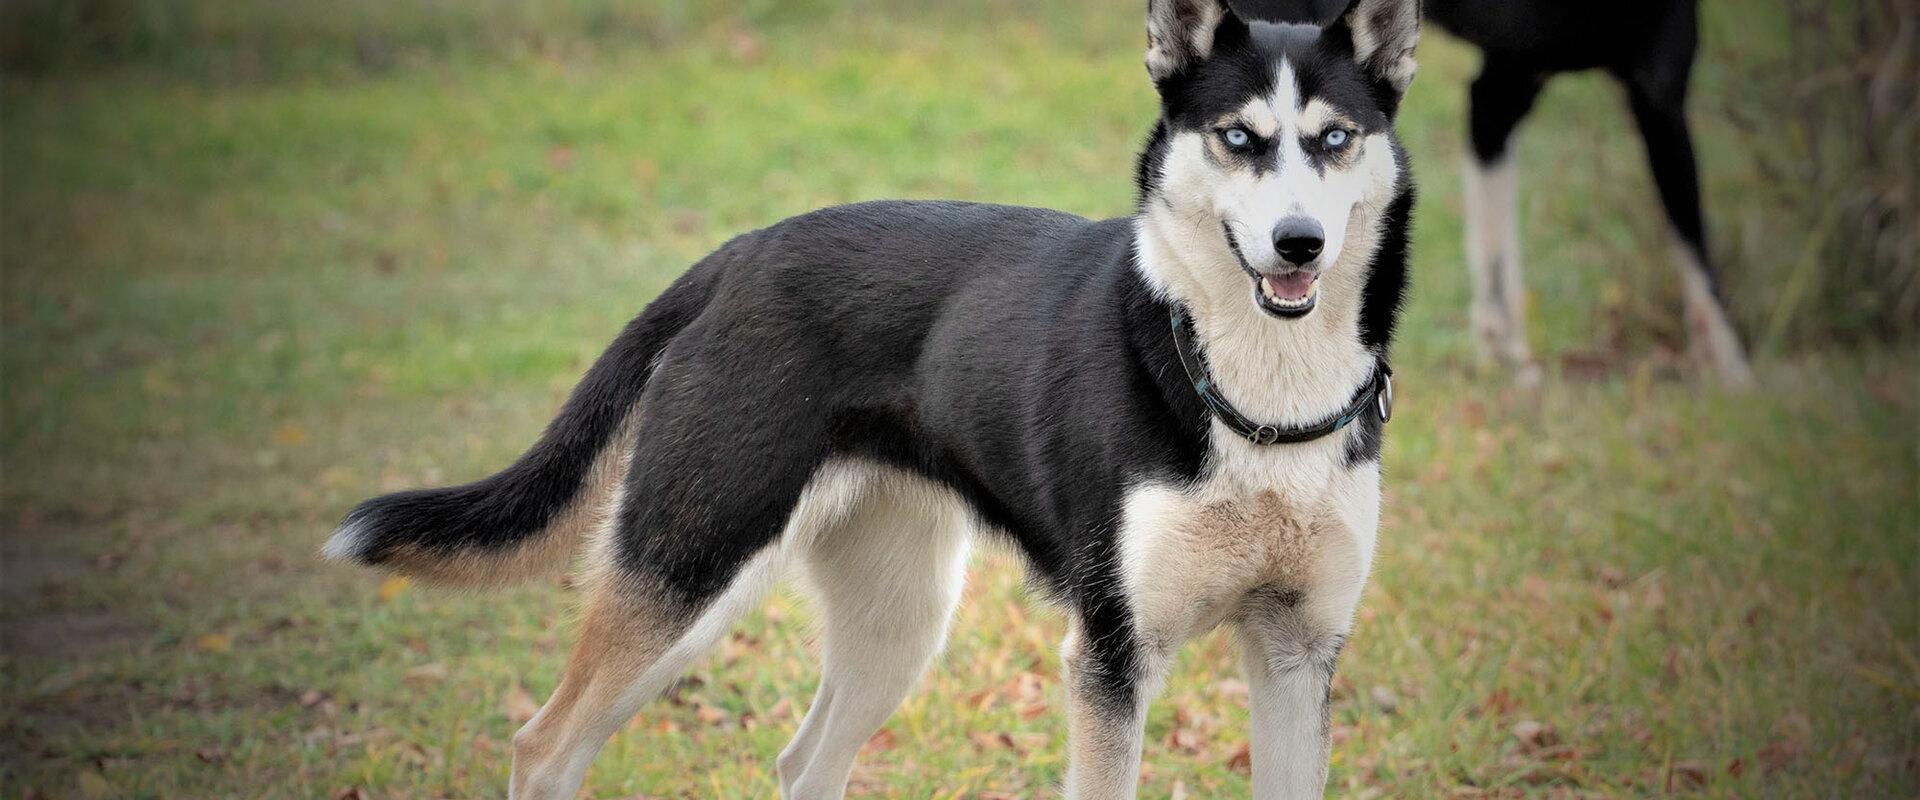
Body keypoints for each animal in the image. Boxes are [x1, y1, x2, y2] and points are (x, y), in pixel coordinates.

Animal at [322, 1, 1420, 798]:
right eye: (1238, 136)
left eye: (1336, 139)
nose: (1298, 244)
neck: (1254, 397)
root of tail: (739, 254)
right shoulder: (1113, 657)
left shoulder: (1296, 654)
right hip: (693, 568)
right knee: (546, 746)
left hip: (897, 617)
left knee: (804, 762)